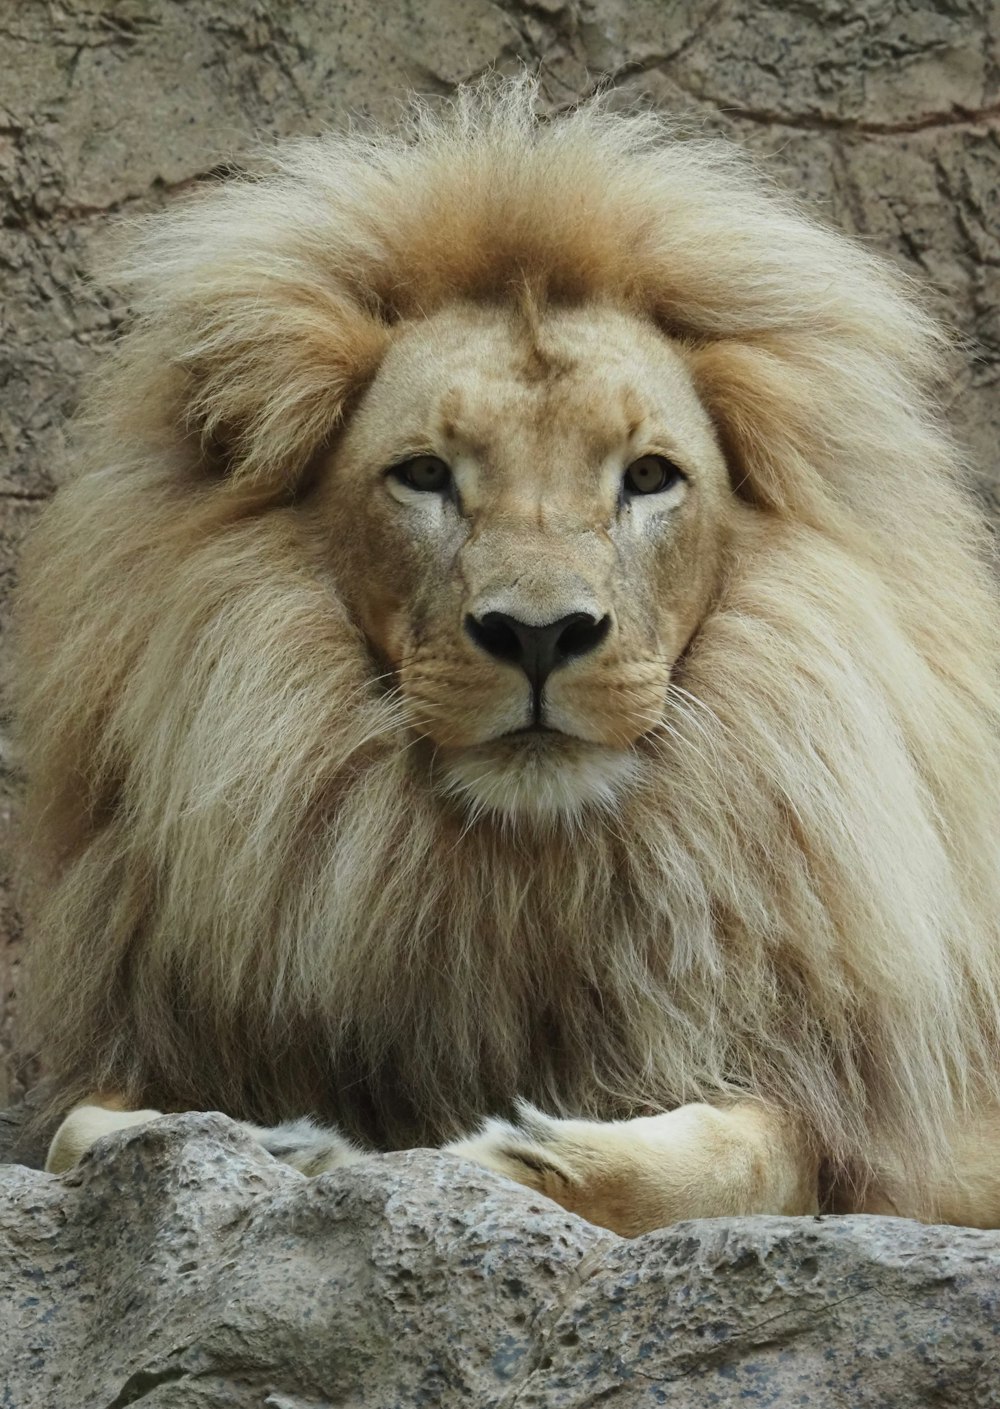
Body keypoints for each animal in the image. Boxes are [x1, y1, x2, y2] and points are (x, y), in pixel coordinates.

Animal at [13, 82, 1000, 1239]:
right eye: (425, 474)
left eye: (649, 476)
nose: (539, 634)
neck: (518, 884)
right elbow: (87, 1129)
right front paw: (286, 1140)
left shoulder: (909, 1112)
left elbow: (767, 1149)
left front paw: (518, 1154)